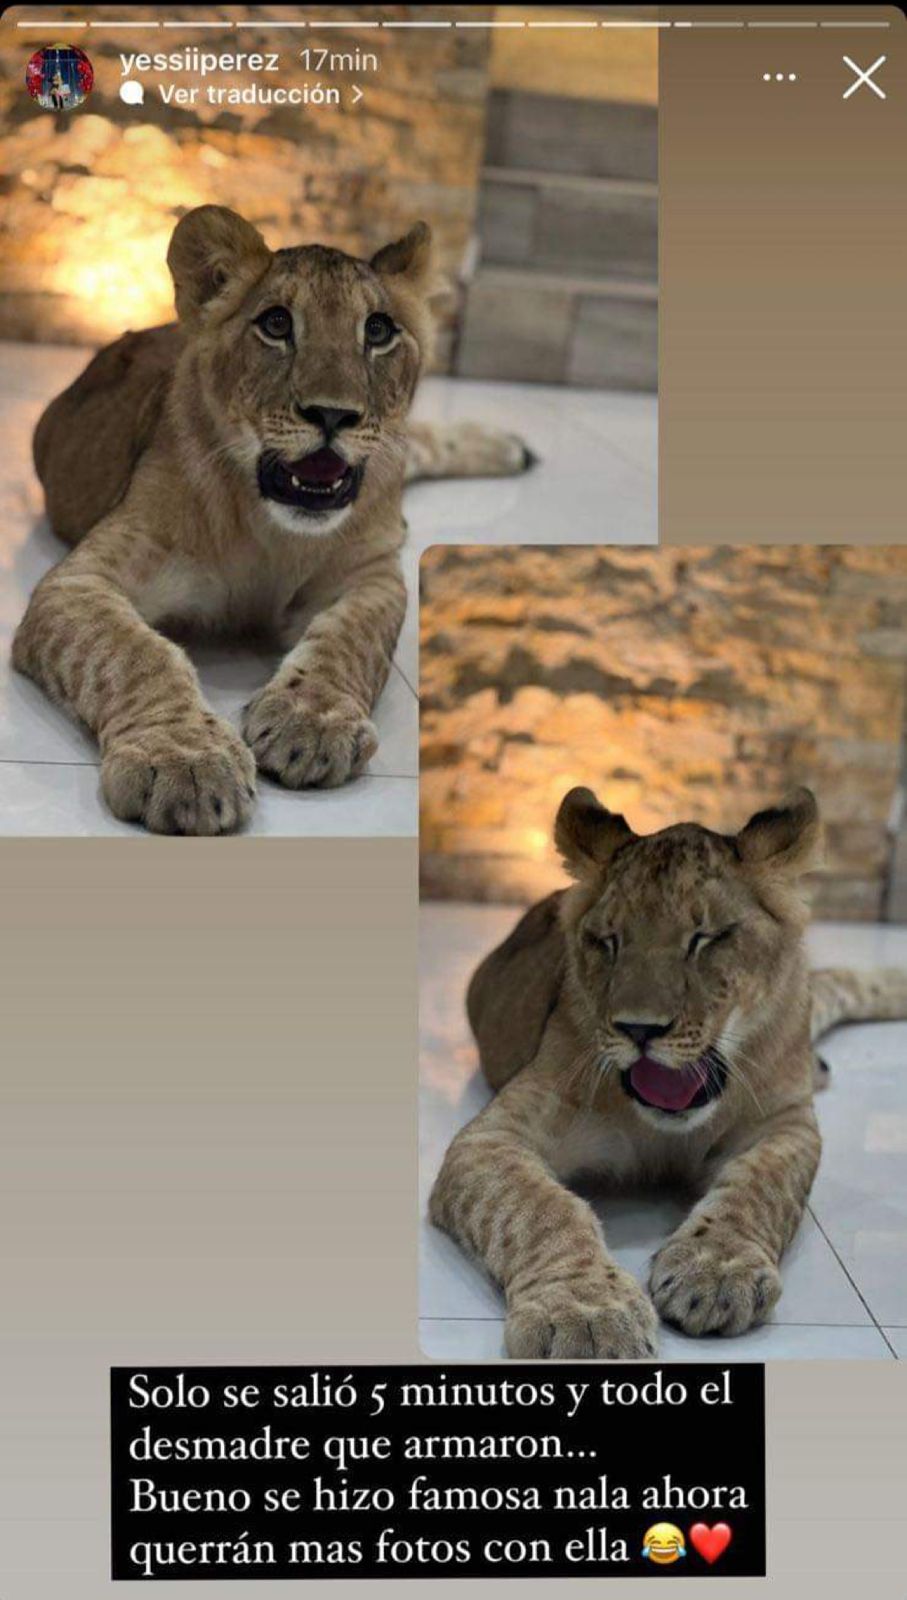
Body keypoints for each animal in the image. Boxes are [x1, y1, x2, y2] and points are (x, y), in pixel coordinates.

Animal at [13, 205, 531, 835]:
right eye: (277, 324)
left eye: (378, 331)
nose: (332, 414)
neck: (271, 533)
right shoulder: (78, 581)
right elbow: (133, 653)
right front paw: (185, 761)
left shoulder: (372, 574)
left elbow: (350, 638)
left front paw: (310, 721)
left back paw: (510, 448)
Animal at [429, 785, 907, 1357]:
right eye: (607, 940)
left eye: (706, 938)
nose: (639, 1029)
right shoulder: (493, 1136)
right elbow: (537, 1208)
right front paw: (584, 1315)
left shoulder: (785, 1124)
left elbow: (760, 1187)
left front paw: (716, 1271)